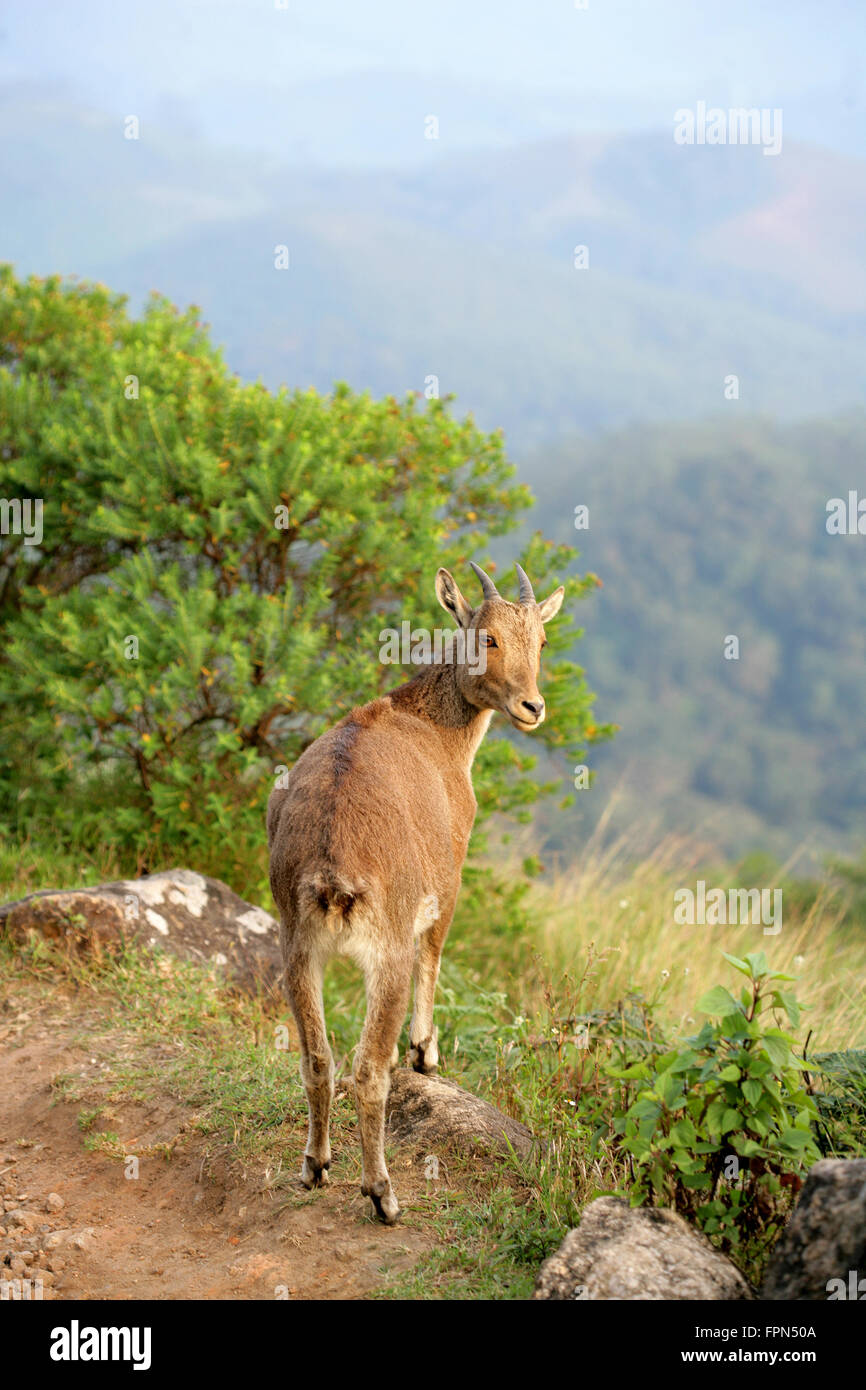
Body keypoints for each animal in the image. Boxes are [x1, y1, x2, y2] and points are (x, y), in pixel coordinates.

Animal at [268, 558, 567, 1223]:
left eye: (540, 639)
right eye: (487, 636)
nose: (532, 706)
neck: (431, 726)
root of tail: (331, 863)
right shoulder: (448, 878)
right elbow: (437, 951)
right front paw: (427, 1054)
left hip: (296, 947)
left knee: (318, 1060)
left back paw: (315, 1166)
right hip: (386, 955)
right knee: (367, 1068)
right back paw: (382, 1193)